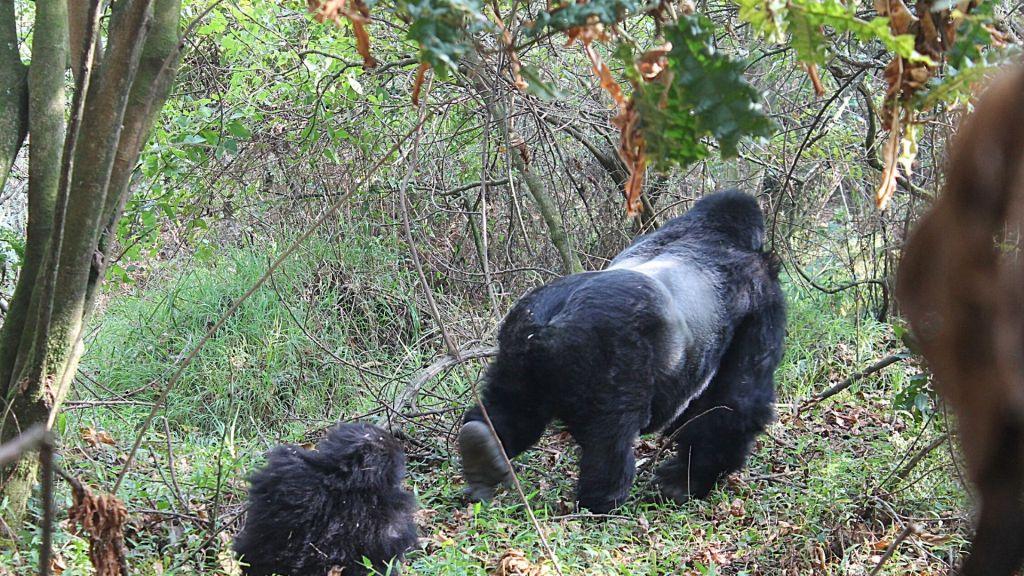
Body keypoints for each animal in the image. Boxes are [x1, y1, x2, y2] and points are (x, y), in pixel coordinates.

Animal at [460, 189, 786, 510]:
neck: (711, 230)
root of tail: (553, 319)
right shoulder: (762, 291)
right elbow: (738, 400)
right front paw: (686, 481)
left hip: (517, 341)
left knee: (513, 409)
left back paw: (481, 449)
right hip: (608, 349)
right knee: (610, 437)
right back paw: (600, 502)